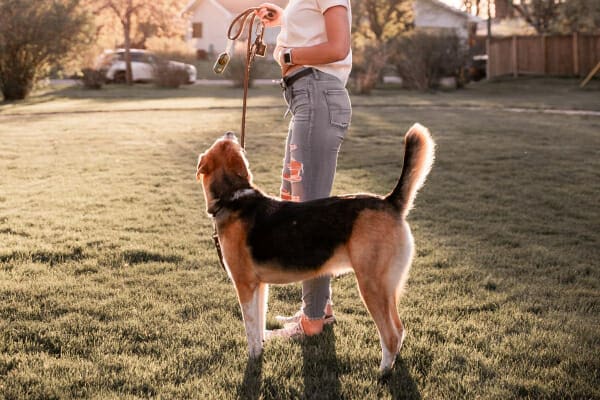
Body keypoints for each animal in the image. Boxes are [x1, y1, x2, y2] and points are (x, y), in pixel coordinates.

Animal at [197, 123, 436, 370]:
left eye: (222, 143)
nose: (229, 133)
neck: (233, 197)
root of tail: (389, 201)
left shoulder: (245, 285)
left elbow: (251, 330)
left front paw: (254, 360)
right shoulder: (259, 286)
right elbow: (259, 323)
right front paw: (262, 347)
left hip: (372, 286)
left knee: (390, 335)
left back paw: (383, 372)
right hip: (389, 288)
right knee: (399, 329)